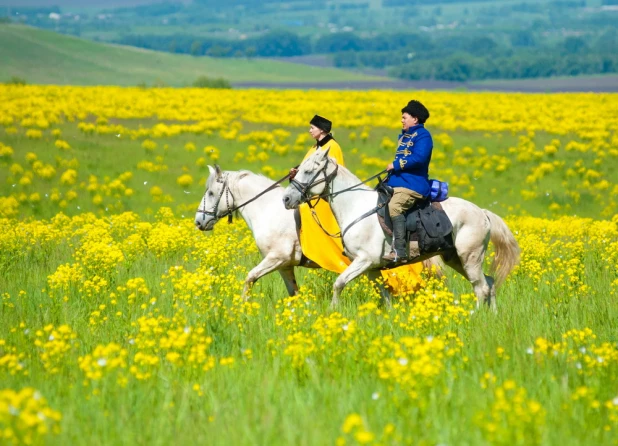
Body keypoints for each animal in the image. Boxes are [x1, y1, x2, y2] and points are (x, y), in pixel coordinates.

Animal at [282, 148, 516, 308]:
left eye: (308, 171)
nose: (286, 199)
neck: (356, 206)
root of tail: (482, 212)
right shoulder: (372, 267)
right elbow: (384, 294)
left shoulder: (363, 261)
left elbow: (338, 283)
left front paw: (333, 311)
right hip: (456, 259)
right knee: (489, 283)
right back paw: (491, 316)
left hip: (470, 257)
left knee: (481, 287)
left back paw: (475, 316)